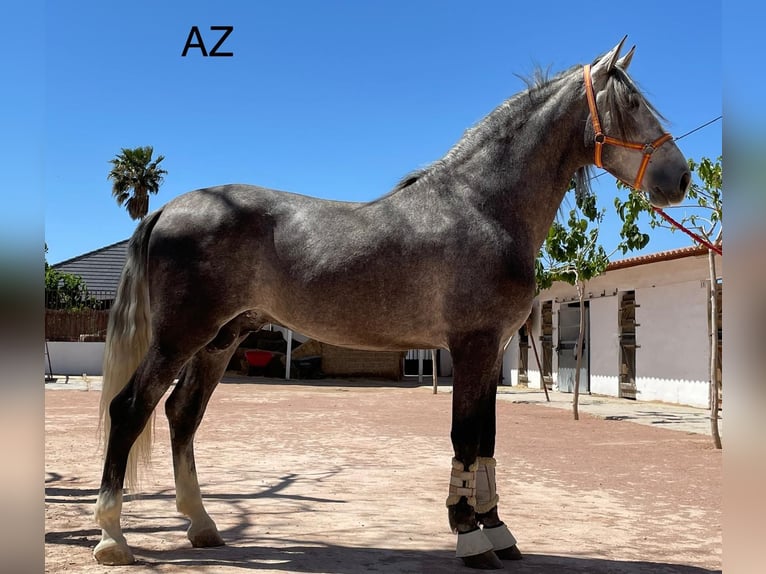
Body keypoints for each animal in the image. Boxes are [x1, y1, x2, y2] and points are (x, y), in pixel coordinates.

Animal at [94, 38, 688, 568]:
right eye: (633, 104)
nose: (679, 177)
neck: (482, 206)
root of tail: (168, 208)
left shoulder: (490, 350)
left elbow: (488, 441)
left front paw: (498, 532)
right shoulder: (472, 346)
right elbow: (466, 436)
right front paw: (469, 537)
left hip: (221, 339)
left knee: (181, 414)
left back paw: (201, 525)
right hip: (180, 337)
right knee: (130, 409)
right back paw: (112, 539)